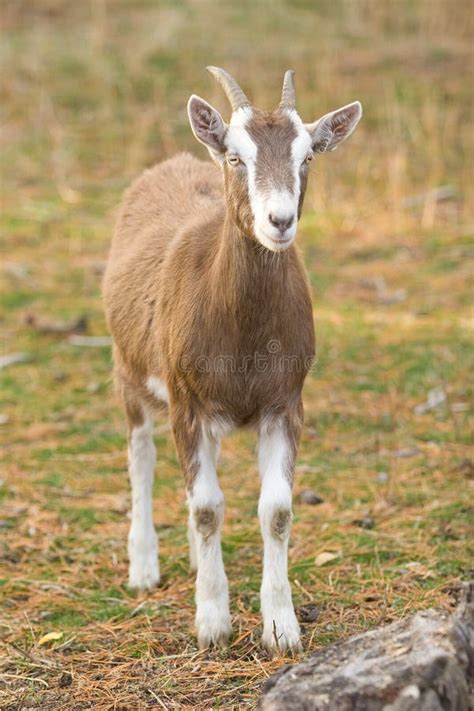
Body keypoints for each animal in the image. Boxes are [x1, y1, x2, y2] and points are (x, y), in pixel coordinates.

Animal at [103, 68, 362, 656]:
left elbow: (276, 510)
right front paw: (212, 623)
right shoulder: (186, 403)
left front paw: (281, 628)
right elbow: (206, 508)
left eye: (307, 156)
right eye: (236, 157)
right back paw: (144, 566)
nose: (279, 221)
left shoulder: (285, 403)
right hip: (129, 371)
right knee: (141, 455)